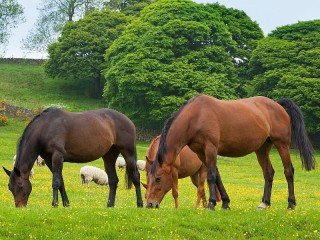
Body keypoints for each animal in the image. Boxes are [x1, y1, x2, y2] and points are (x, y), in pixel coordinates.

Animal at [3, 107, 143, 208]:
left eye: (20, 185)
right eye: (10, 187)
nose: (20, 207)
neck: (45, 127)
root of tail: (128, 120)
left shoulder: (57, 156)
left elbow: (56, 182)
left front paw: (54, 204)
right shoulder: (48, 160)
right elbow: (61, 182)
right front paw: (66, 204)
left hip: (129, 153)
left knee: (136, 176)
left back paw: (140, 204)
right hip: (109, 156)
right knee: (113, 181)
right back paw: (110, 205)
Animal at [146, 94, 316, 209]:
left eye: (158, 179)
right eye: (149, 178)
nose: (150, 204)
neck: (196, 117)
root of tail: (277, 105)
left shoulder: (211, 148)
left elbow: (211, 176)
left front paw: (211, 204)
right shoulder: (201, 153)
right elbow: (217, 176)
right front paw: (225, 203)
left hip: (282, 145)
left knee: (288, 171)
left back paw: (291, 204)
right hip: (262, 149)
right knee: (268, 173)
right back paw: (264, 203)